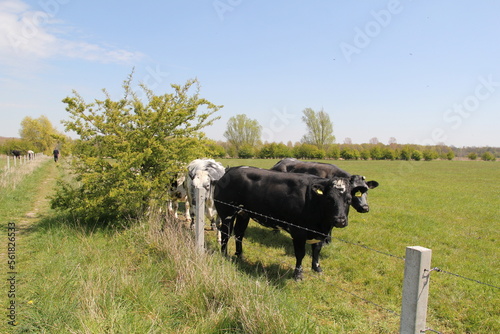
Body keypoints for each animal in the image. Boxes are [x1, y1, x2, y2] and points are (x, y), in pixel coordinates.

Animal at [215, 166, 352, 280]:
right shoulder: (298, 232)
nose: (340, 220)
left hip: (243, 214)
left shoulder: (317, 233)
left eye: (349, 199)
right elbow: (300, 254)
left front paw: (317, 268)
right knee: (226, 234)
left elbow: (317, 249)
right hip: (226, 213)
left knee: (239, 233)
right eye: (329, 198)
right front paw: (298, 274)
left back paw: (240, 255)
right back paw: (224, 255)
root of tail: (231, 170)